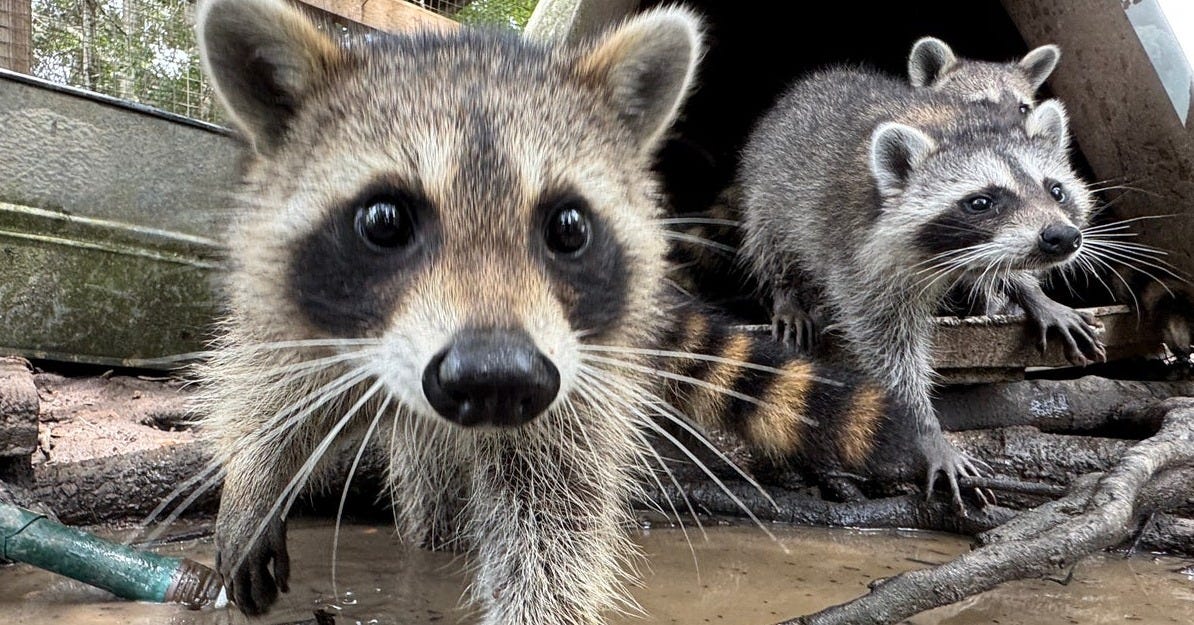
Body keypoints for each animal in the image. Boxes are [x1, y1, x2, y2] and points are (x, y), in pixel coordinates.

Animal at [194, 1, 919, 623]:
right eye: (383, 221)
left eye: (569, 227)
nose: (493, 379)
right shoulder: (285, 298)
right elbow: (268, 384)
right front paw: (253, 483)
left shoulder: (574, 374)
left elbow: (553, 514)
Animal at [738, 68, 1102, 500]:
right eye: (982, 202)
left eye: (1056, 190)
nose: (1062, 237)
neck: (960, 128)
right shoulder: (859, 256)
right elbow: (889, 348)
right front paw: (924, 428)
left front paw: (1031, 291)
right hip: (770, 185)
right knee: (771, 238)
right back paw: (787, 294)